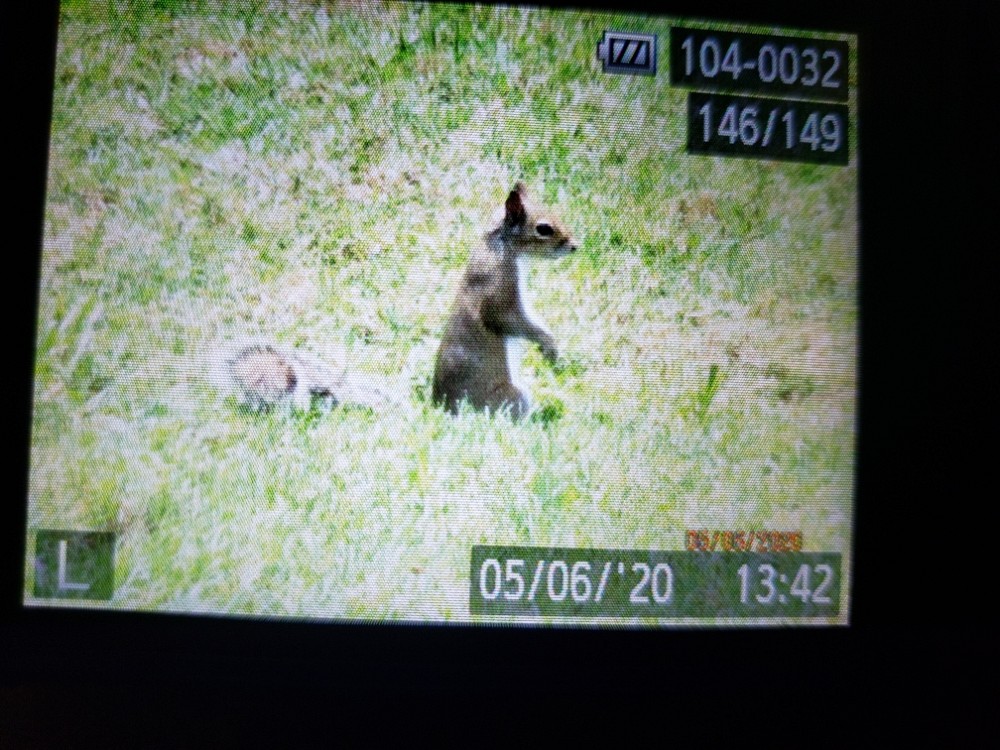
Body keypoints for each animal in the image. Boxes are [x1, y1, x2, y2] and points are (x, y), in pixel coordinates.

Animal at [430, 181, 580, 418]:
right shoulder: (499, 293)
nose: (575, 245)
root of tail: (444, 407)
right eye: (543, 229)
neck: (505, 248)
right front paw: (550, 348)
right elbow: (508, 320)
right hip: (512, 397)